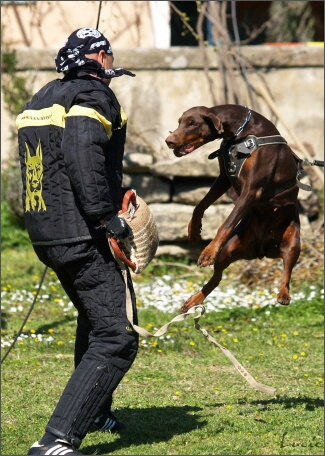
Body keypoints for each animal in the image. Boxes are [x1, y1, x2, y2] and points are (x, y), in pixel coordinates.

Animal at [166, 104, 302, 312]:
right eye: (180, 122)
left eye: (192, 123)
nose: (169, 141)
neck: (240, 133)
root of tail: (261, 251)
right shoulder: (224, 179)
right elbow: (200, 205)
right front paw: (194, 230)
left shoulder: (251, 190)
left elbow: (227, 223)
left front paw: (208, 251)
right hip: (230, 249)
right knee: (217, 277)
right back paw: (195, 299)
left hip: (293, 240)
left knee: (287, 271)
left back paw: (283, 294)